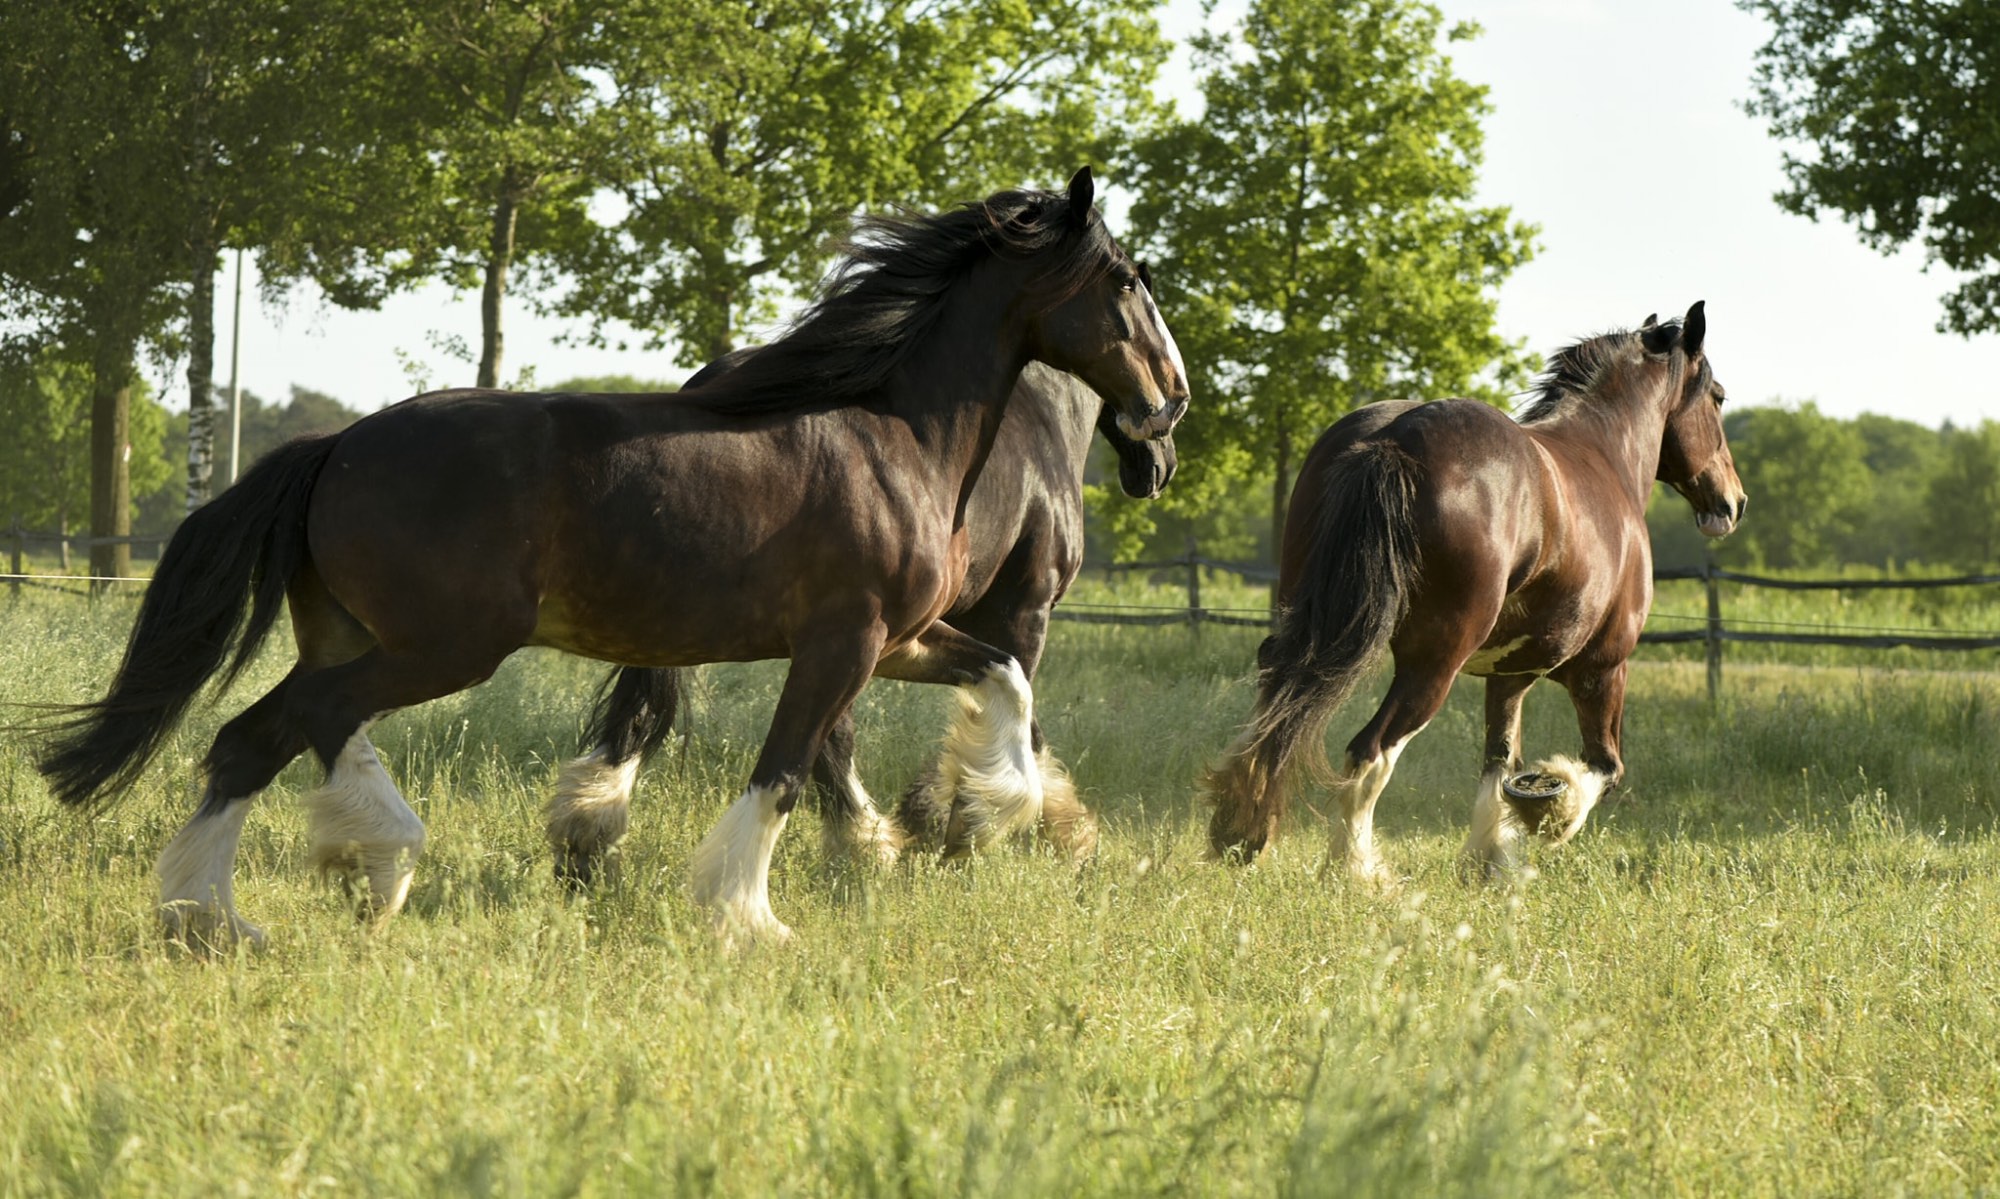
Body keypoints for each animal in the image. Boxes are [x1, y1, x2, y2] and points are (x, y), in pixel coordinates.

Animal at [545, 357, 1177, 885]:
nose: (1159, 467)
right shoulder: (1022, 611)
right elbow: (1026, 719)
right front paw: (1032, 825)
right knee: (824, 733)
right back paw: (863, 841)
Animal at [1205, 302, 1743, 879]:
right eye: (1718, 397)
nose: (1733, 502)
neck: (1604, 457)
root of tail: (1392, 438)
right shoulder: (1602, 669)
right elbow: (1603, 767)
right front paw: (1549, 812)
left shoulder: (1509, 677)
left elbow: (1498, 764)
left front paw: (1490, 861)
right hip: (1432, 662)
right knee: (1371, 749)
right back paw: (1356, 871)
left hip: (1309, 625)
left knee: (1276, 700)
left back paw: (1240, 833)